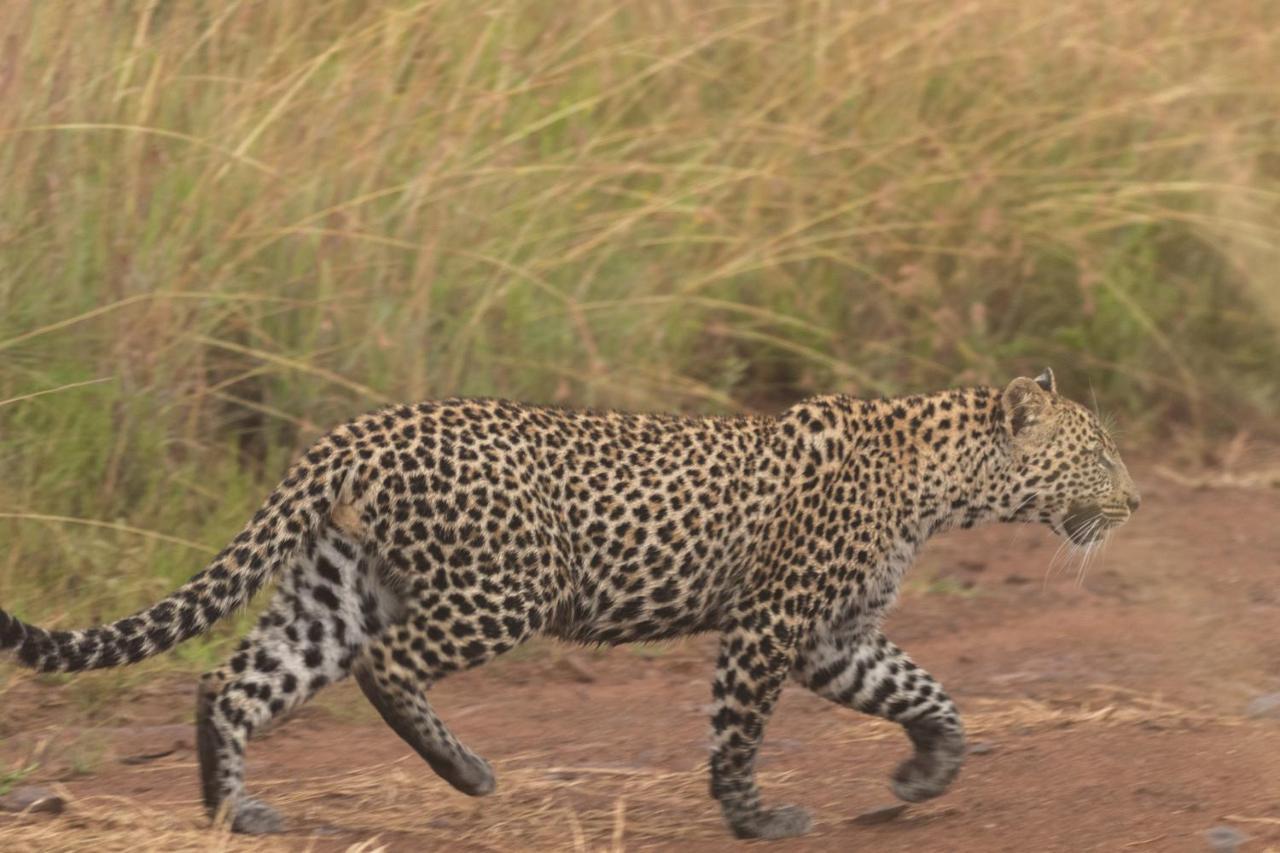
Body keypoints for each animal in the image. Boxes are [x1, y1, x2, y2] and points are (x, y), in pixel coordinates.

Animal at [0, 371, 1141, 835]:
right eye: (1096, 452)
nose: (1135, 500)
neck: (940, 482)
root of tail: (353, 433)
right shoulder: (773, 622)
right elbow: (736, 730)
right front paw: (755, 817)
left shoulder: (836, 635)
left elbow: (927, 691)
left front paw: (924, 772)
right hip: (506, 585)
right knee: (387, 662)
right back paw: (463, 771)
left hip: (331, 588)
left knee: (231, 681)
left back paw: (235, 812)